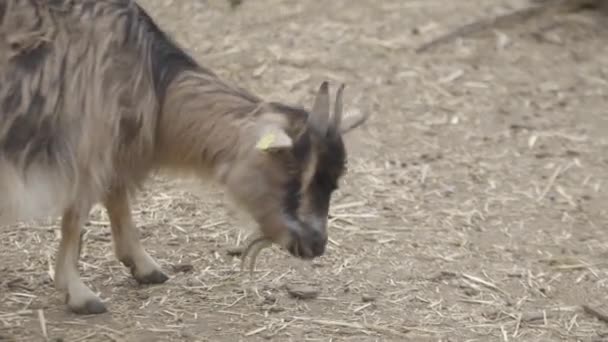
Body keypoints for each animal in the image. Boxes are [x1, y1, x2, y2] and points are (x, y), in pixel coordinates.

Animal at [0, 0, 366, 316]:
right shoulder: (89, 142)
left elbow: (116, 194)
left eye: (334, 183)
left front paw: (143, 266)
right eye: (293, 172)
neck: (153, 81)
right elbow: (77, 214)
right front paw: (78, 293)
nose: (316, 244)